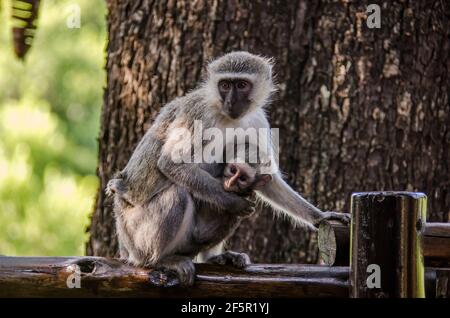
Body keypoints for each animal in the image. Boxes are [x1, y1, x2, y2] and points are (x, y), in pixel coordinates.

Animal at [107, 51, 350, 286]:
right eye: (225, 85)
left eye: (241, 85)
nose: (231, 101)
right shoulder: (198, 114)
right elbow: (171, 162)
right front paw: (233, 202)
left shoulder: (257, 120)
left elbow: (269, 180)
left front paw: (322, 216)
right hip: (136, 233)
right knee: (179, 192)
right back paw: (160, 260)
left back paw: (212, 256)